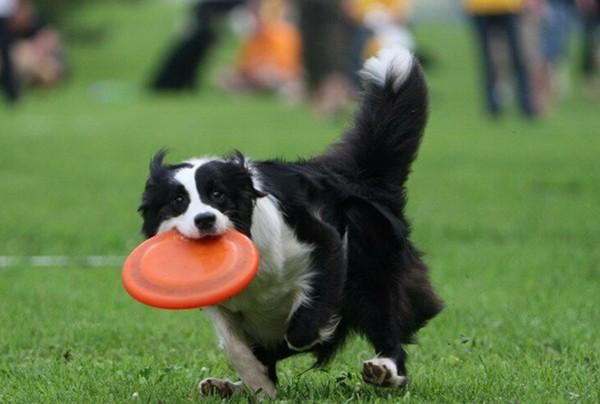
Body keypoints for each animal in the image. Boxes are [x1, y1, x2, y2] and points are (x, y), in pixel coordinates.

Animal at [139, 47, 440, 398]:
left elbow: (302, 329)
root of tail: (352, 175)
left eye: (218, 195)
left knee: (385, 320)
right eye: (178, 201)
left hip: (370, 252)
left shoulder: (322, 239)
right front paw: (257, 382)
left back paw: (385, 370)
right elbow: (234, 344)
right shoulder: (221, 304)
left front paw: (316, 333)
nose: (204, 220)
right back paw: (227, 386)